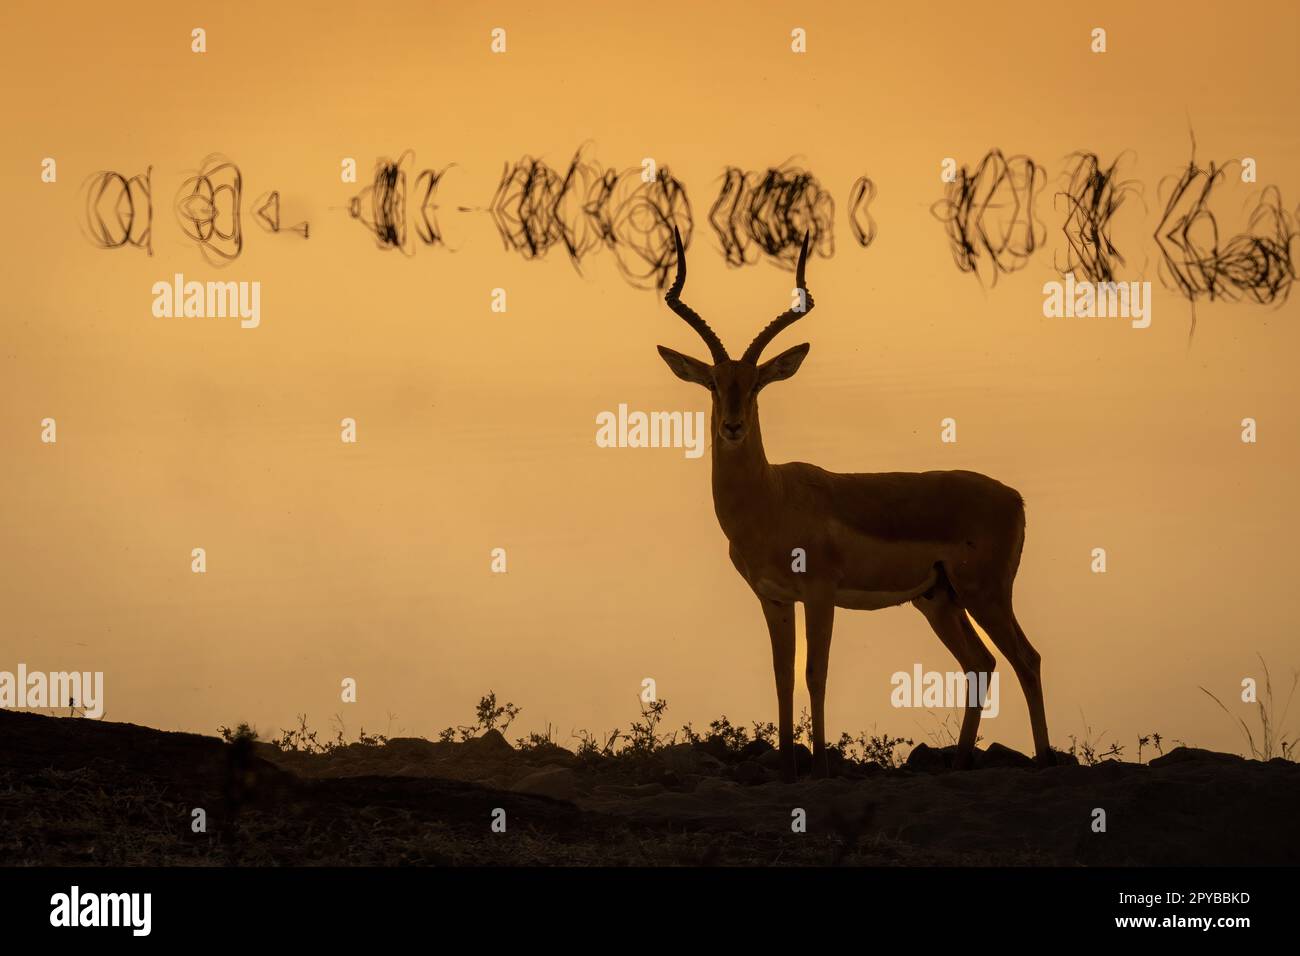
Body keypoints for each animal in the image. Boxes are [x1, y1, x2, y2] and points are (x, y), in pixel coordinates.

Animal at [656, 229, 1052, 780]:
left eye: (756, 384)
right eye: (715, 382)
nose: (732, 427)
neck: (770, 501)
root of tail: (1013, 497)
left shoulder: (821, 593)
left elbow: (815, 673)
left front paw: (820, 767)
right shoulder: (774, 598)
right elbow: (782, 675)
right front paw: (787, 768)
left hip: (985, 593)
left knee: (1026, 658)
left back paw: (1045, 760)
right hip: (939, 600)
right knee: (981, 661)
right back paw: (959, 763)